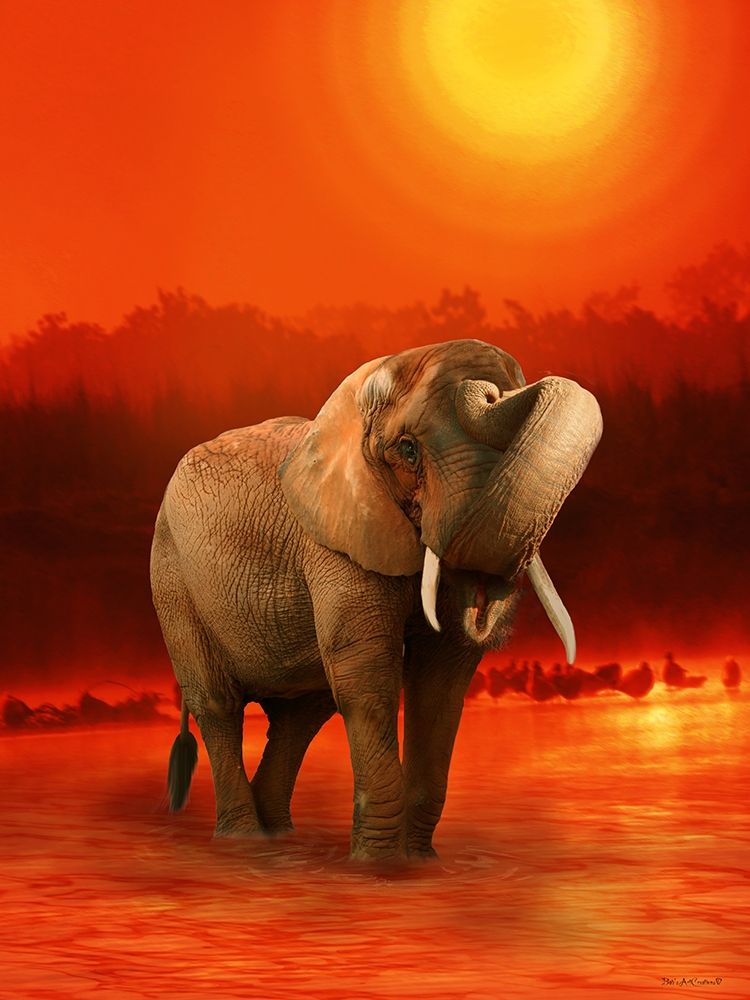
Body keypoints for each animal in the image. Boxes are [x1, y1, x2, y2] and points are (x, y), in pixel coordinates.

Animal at [150, 339, 602, 861]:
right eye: (407, 450)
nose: (491, 392)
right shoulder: (334, 539)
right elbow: (367, 672)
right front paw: (380, 867)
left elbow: (442, 679)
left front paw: (421, 864)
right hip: (173, 580)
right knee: (218, 704)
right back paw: (244, 842)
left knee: (301, 715)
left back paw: (279, 836)